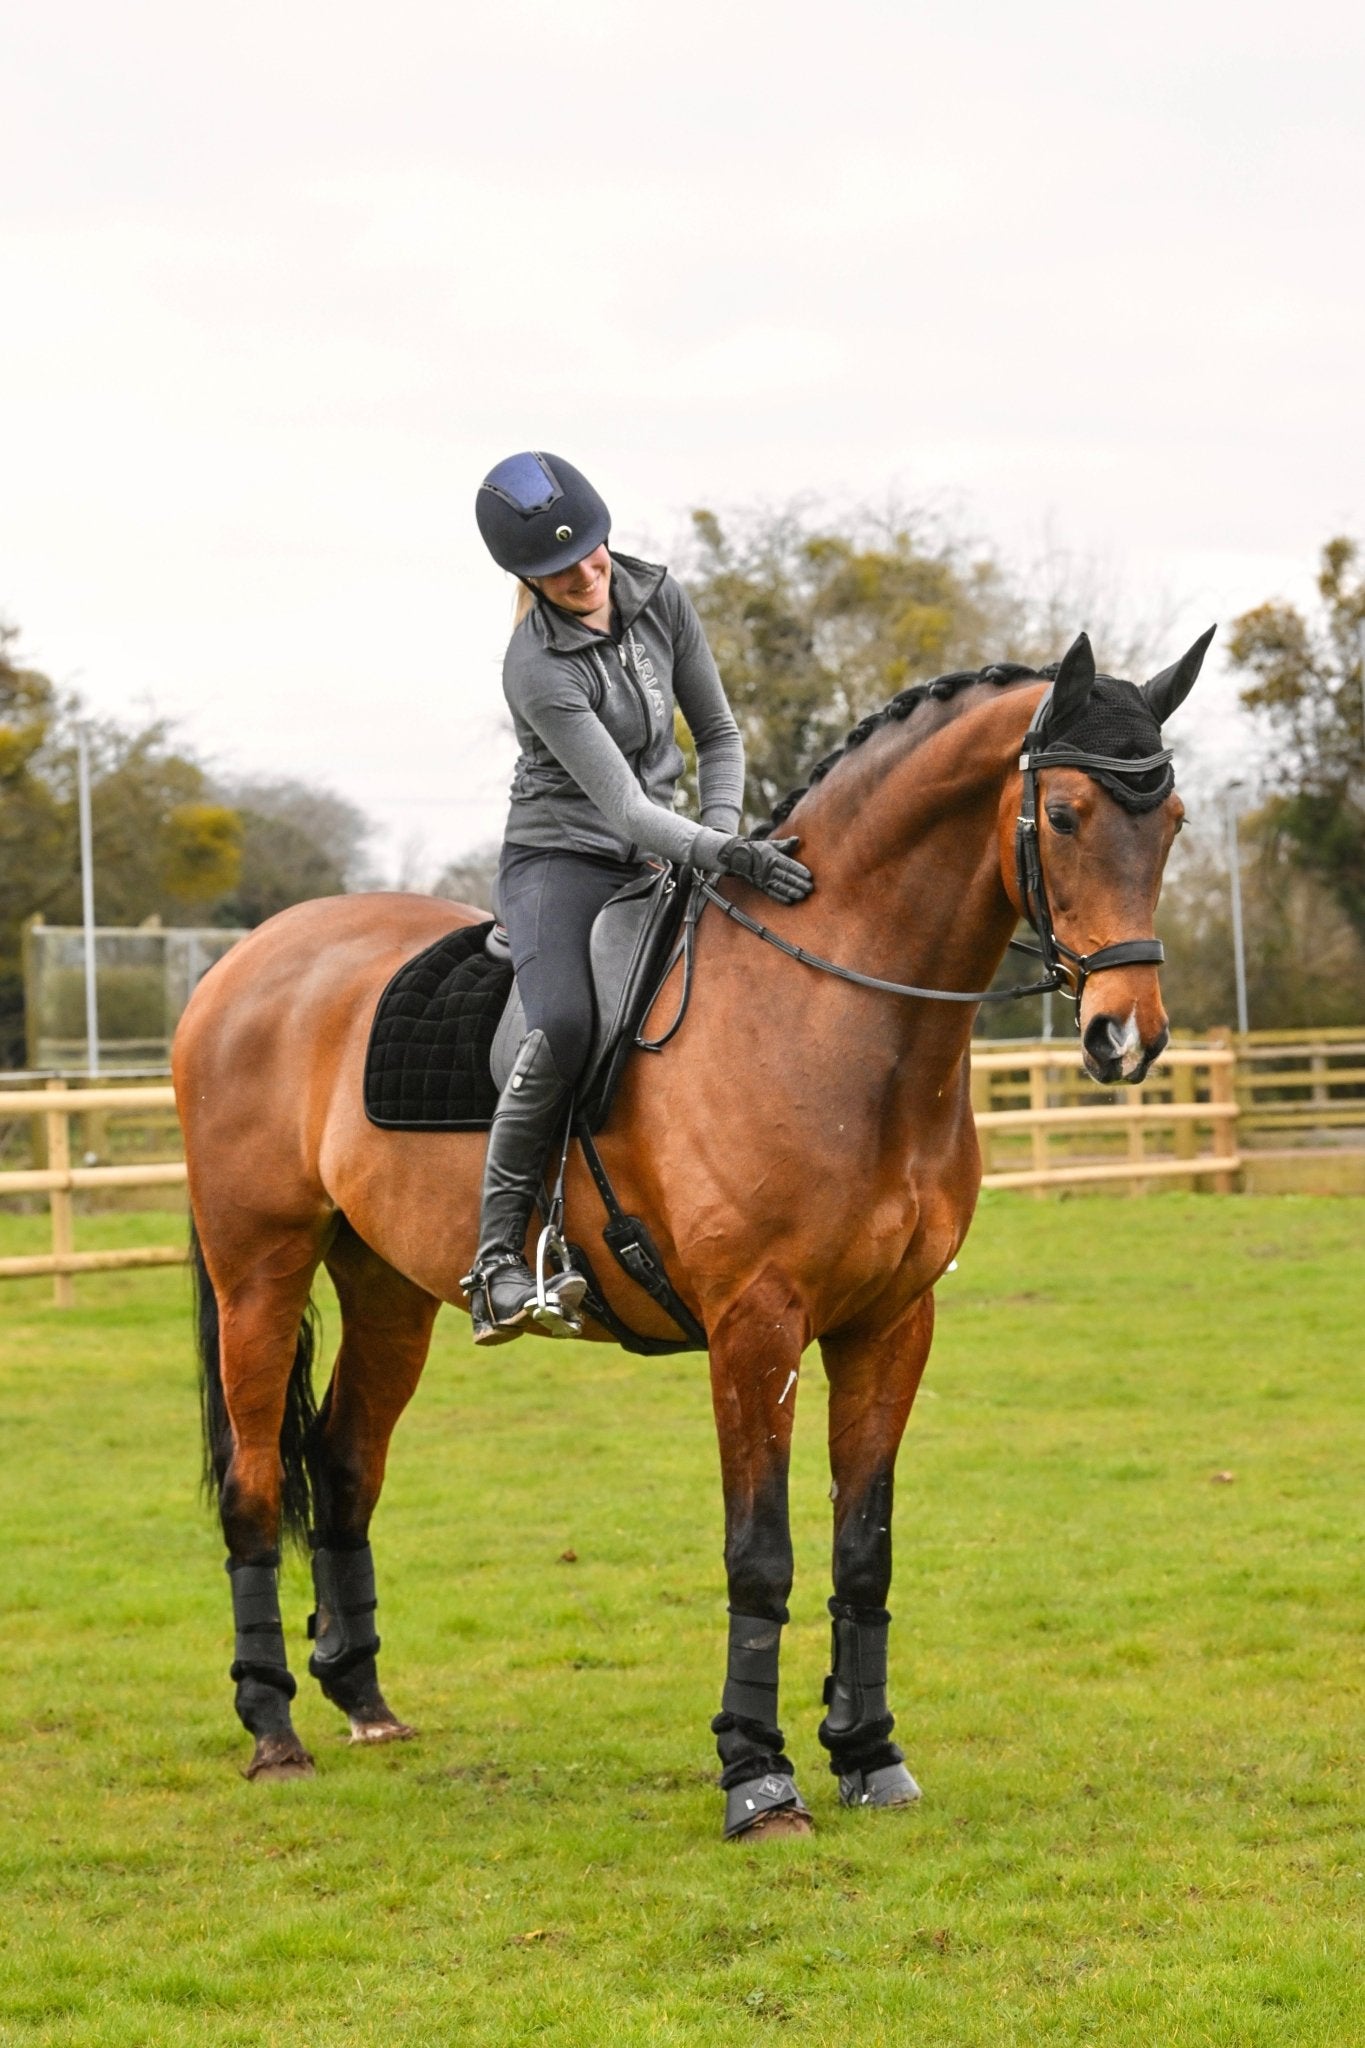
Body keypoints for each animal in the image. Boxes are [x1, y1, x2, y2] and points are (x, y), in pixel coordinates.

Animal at [175, 630, 1211, 1835]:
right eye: (1067, 815)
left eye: (1171, 818)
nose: (1125, 1037)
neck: (832, 1015)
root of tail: (243, 964)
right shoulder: (754, 1327)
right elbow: (759, 1554)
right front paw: (759, 1777)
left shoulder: (892, 1323)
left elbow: (865, 1549)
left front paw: (869, 1753)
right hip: (261, 1269)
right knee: (255, 1480)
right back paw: (273, 1729)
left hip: (386, 1287)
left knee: (344, 1464)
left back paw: (365, 1702)